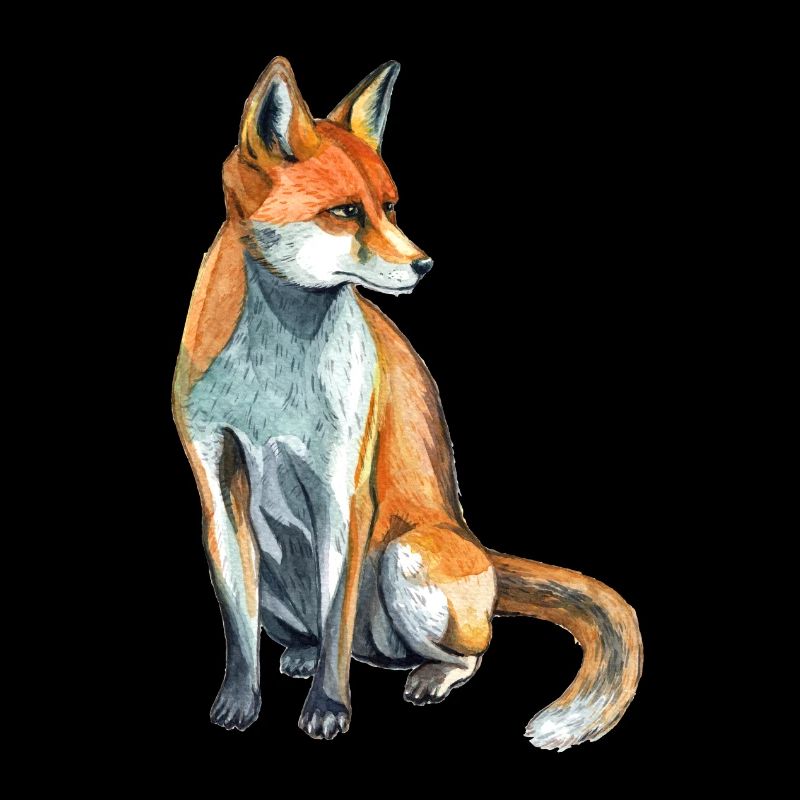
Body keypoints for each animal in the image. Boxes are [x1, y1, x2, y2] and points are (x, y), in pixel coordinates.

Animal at [172, 56, 643, 750]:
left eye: (389, 206)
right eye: (345, 212)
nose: (425, 266)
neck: (271, 379)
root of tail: (476, 541)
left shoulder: (342, 488)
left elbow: (336, 615)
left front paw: (329, 710)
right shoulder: (216, 482)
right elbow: (240, 625)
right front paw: (238, 702)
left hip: (406, 556)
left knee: (461, 650)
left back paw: (427, 677)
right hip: (290, 574)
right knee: (326, 638)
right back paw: (304, 655)